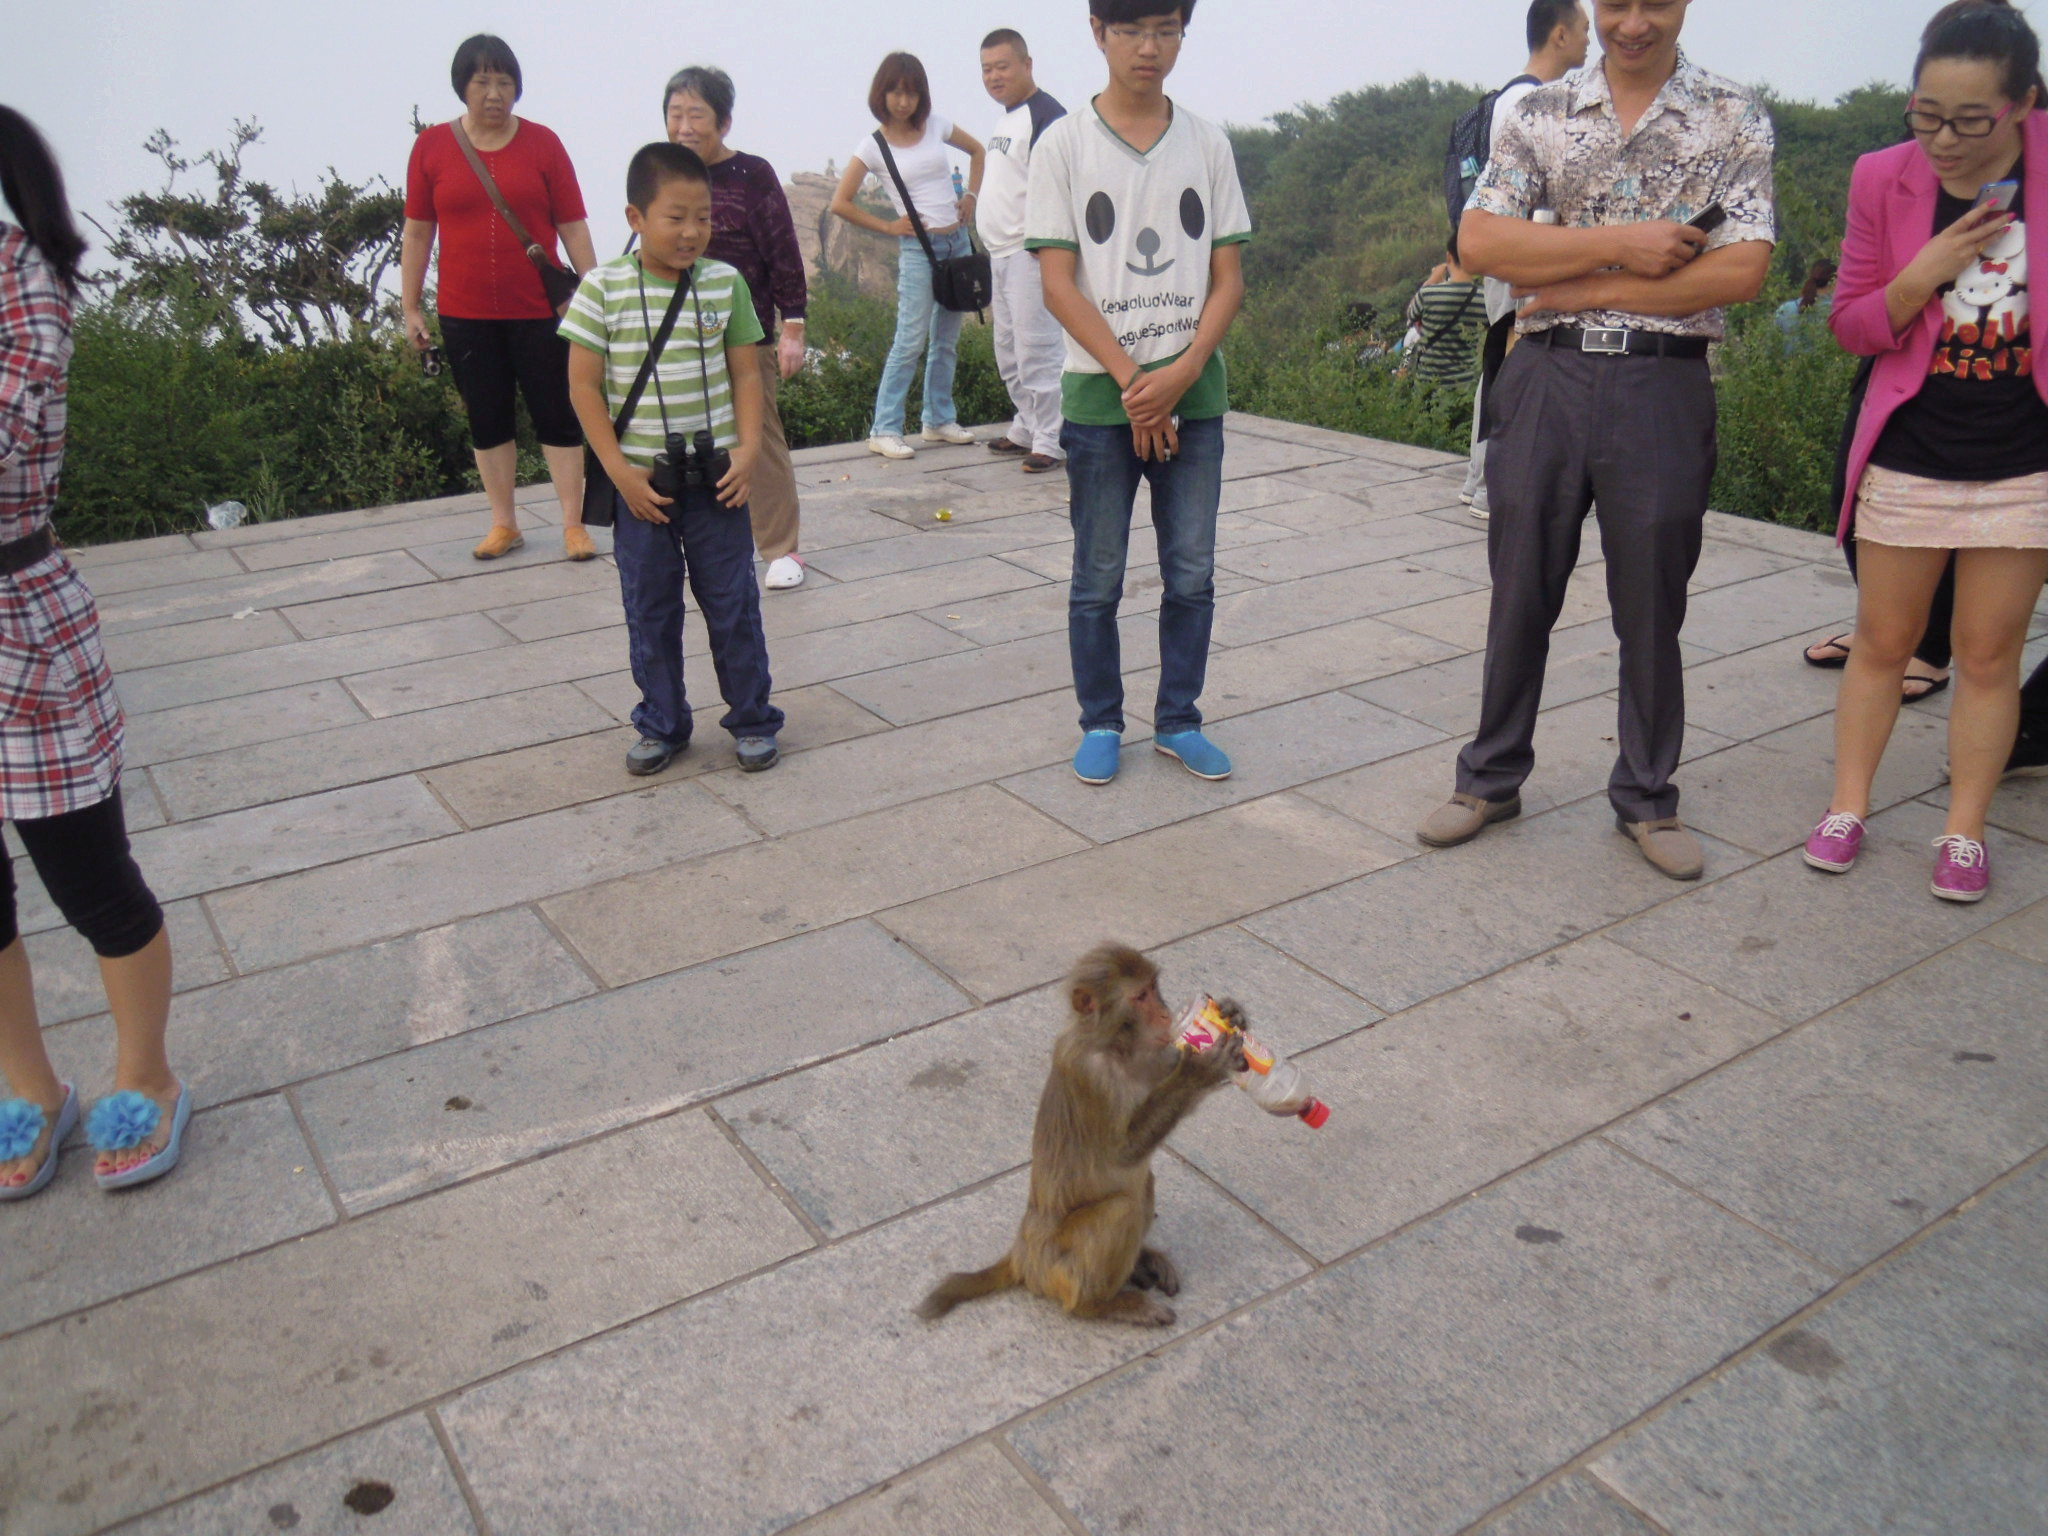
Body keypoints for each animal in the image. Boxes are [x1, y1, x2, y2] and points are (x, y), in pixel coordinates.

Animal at [917, 946, 1245, 1327]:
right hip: (1056, 1267)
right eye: (1141, 997)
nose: (1166, 1013)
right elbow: (1122, 1153)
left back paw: (1141, 1261)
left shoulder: (1153, 1054)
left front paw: (1232, 1014)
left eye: (1154, 988)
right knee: (1120, 1209)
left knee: (1143, 1184)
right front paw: (1199, 1070)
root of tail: (1023, 1252)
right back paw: (1102, 1305)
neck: (1116, 1046)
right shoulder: (1091, 1074)